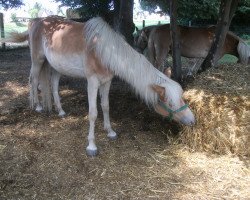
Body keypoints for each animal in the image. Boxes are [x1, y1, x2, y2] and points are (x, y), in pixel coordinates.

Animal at [4, 16, 195, 156]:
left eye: (181, 97)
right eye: (170, 103)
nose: (193, 121)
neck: (104, 49)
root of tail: (36, 21)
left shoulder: (106, 81)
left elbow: (105, 106)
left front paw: (110, 132)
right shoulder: (93, 82)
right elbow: (93, 113)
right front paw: (91, 146)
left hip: (56, 67)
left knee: (54, 84)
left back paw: (60, 111)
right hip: (37, 61)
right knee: (33, 80)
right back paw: (37, 106)